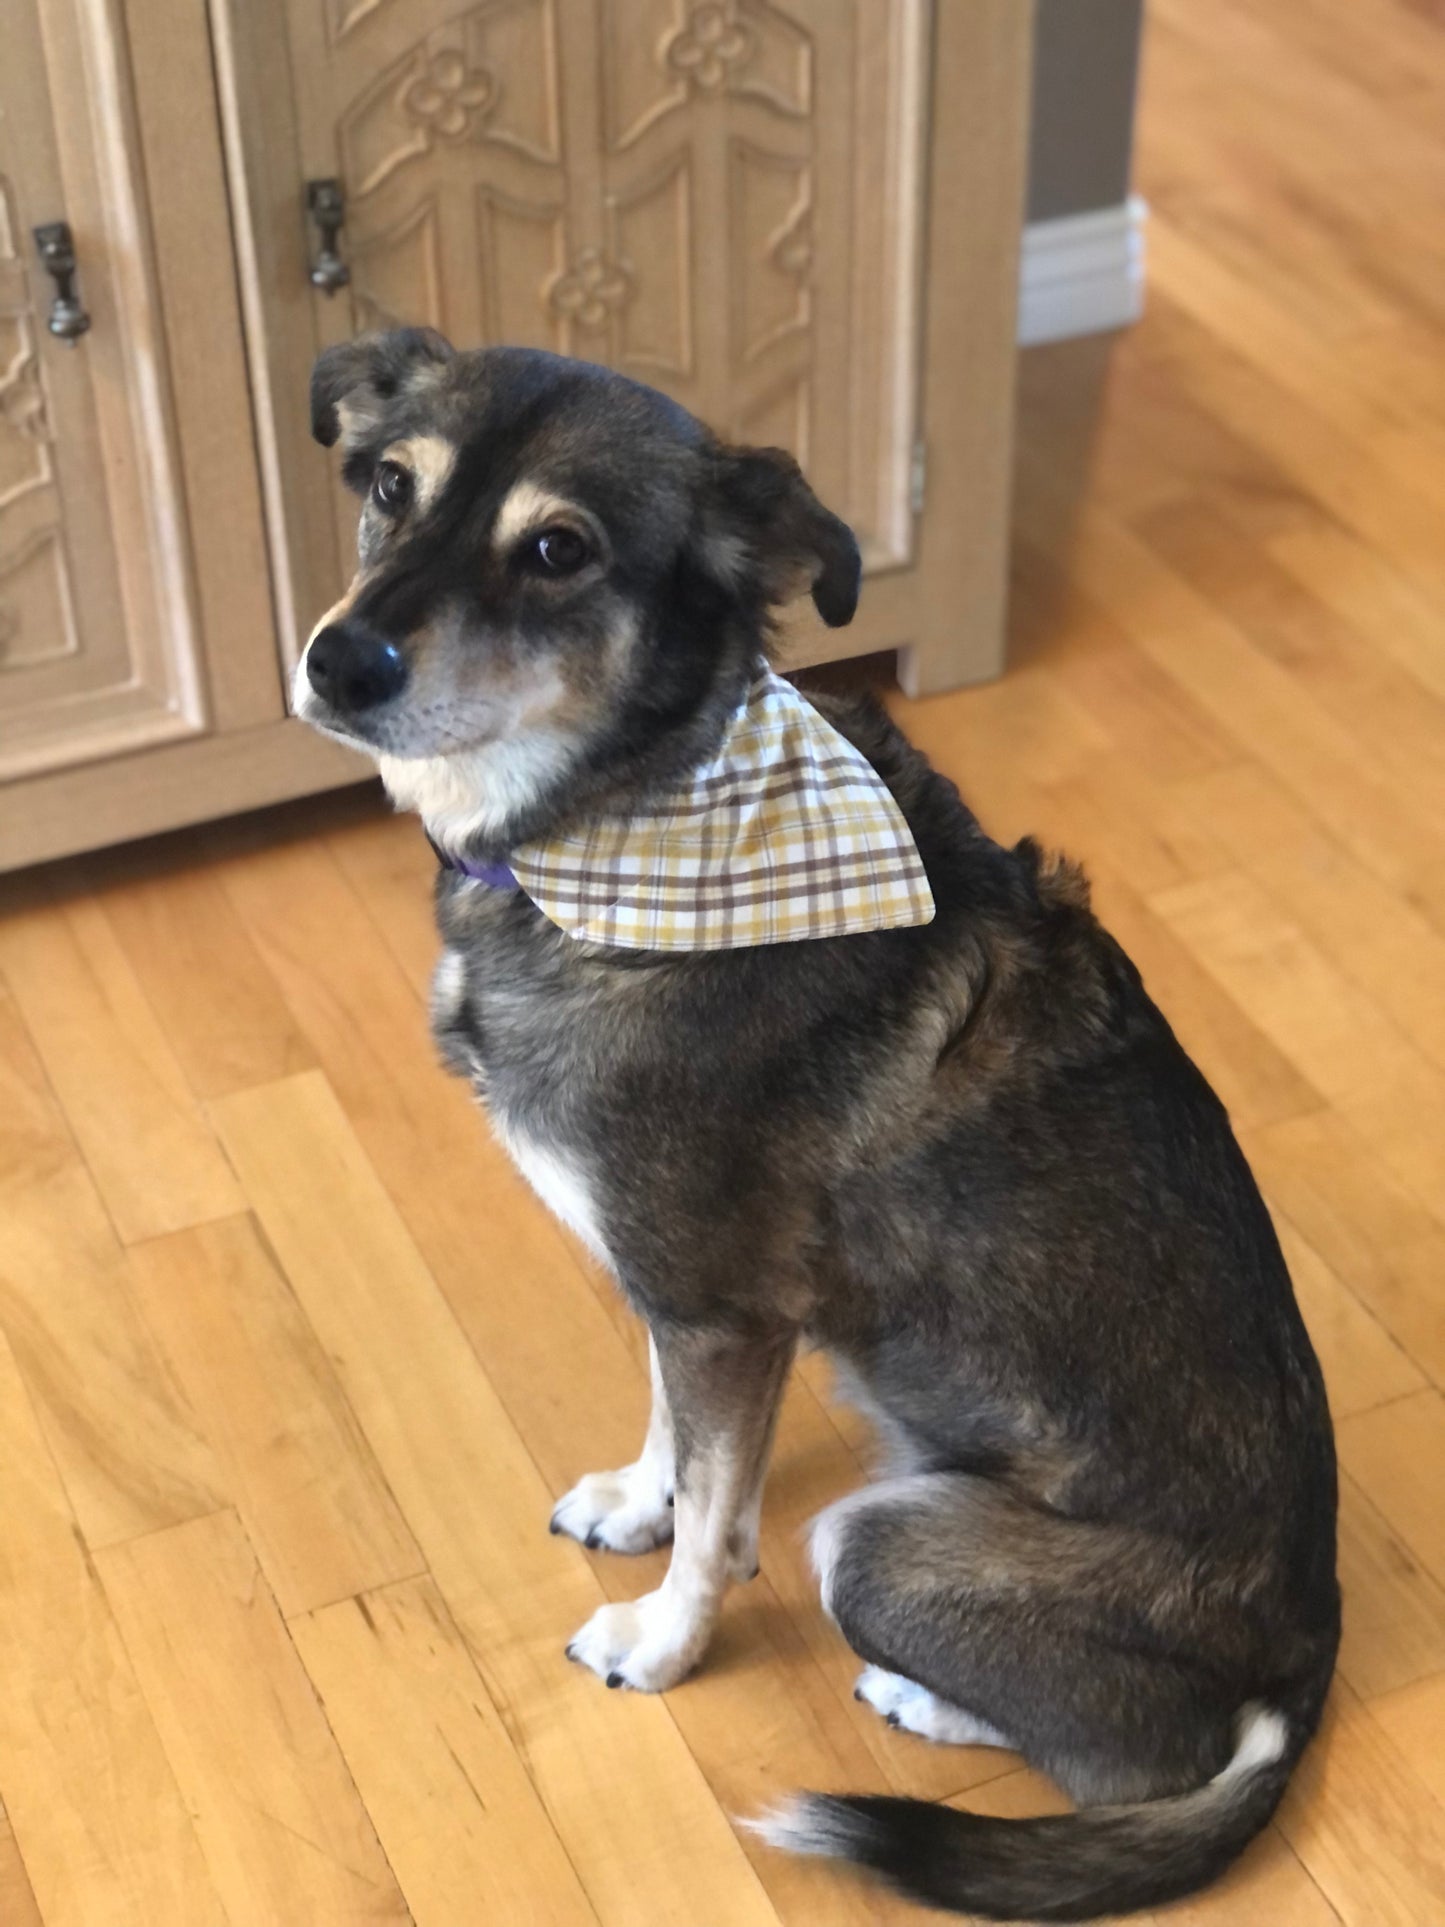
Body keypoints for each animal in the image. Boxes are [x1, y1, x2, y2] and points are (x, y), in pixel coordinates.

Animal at [296, 323, 1348, 1919]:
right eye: (386, 485)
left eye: (557, 548)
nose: (337, 661)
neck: (627, 819)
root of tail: (1304, 1656)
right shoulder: (683, 1294)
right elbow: (676, 1438)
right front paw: (637, 1501)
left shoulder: (720, 1304)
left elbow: (720, 1513)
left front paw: (659, 1639)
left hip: (880, 1540)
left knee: (1134, 1755)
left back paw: (924, 1697)